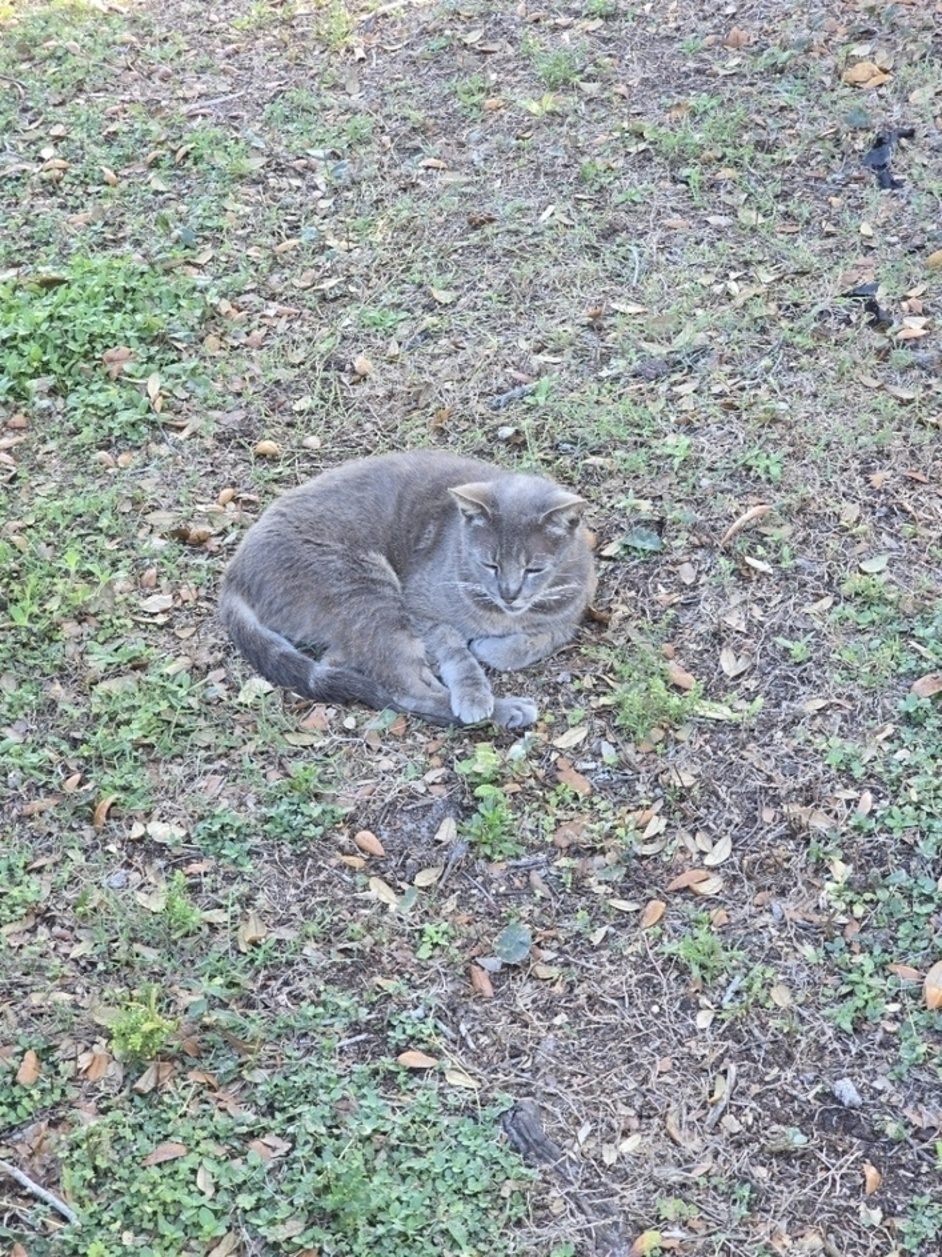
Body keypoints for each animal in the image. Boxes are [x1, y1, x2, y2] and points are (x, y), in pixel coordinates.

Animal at [216, 450, 591, 729]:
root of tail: (234, 574)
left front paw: (494, 648)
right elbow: (457, 653)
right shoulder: (420, 607)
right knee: (405, 689)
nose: (509, 593)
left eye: (534, 569)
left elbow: (541, 639)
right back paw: (507, 709)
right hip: (368, 590)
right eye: (490, 564)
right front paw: (474, 691)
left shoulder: (572, 614)